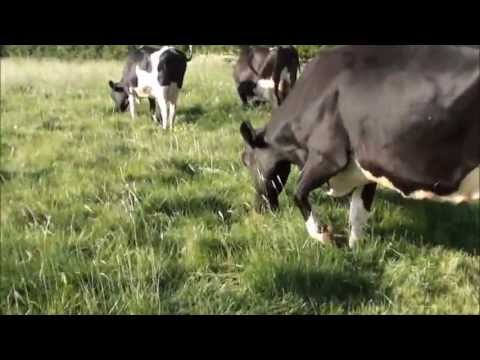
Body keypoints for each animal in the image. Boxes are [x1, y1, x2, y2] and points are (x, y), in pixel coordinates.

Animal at [240, 44, 480, 248]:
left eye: (247, 161)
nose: (259, 208)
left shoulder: (327, 157)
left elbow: (299, 193)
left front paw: (323, 235)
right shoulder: (367, 166)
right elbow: (358, 213)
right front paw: (355, 249)